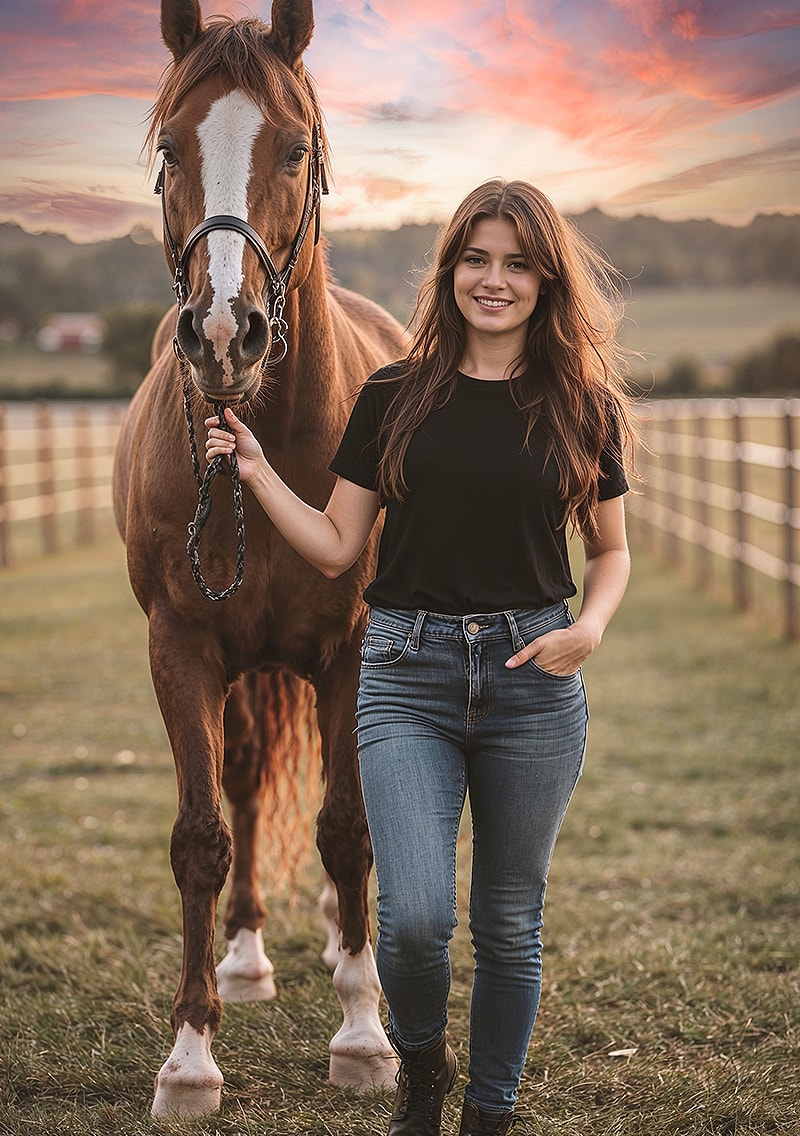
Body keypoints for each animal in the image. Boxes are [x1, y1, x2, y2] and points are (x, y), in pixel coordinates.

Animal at [112, 0, 406, 1117]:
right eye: (171, 148)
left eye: (294, 149)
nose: (224, 334)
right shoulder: (183, 650)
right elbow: (204, 833)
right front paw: (191, 1054)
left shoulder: (353, 650)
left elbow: (349, 827)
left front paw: (364, 1034)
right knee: (241, 780)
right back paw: (245, 958)